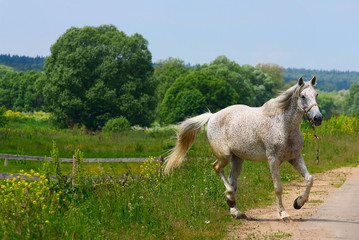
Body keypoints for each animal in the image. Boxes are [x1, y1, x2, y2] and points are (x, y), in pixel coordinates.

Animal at [165, 76, 322, 222]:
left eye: (316, 94)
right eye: (303, 96)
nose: (318, 118)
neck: (282, 126)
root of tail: (212, 116)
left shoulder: (295, 157)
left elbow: (309, 179)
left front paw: (298, 203)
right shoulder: (273, 160)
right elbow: (278, 188)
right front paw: (284, 215)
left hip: (238, 159)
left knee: (232, 181)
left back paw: (236, 211)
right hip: (225, 156)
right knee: (217, 168)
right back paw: (230, 198)